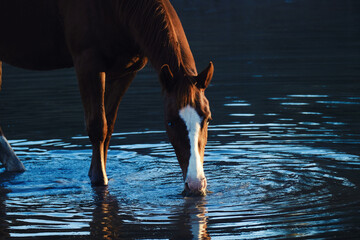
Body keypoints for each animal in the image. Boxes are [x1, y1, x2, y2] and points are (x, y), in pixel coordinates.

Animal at [0, 0, 214, 197]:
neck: (115, 8)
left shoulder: (126, 71)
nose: (196, 185)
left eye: (208, 119)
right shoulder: (88, 64)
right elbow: (97, 126)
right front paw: (98, 180)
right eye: (170, 122)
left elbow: (108, 125)